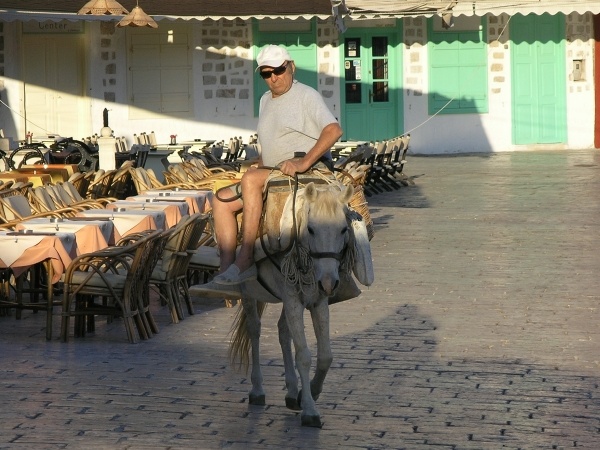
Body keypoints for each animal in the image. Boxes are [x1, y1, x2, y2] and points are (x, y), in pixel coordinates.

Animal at [229, 180, 359, 428]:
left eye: (343, 229)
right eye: (311, 229)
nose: (329, 283)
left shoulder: (318, 301)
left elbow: (326, 355)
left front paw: (310, 393)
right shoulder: (293, 300)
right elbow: (304, 356)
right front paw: (310, 410)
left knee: (282, 330)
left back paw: (290, 392)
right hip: (249, 292)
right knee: (254, 330)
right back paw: (257, 389)